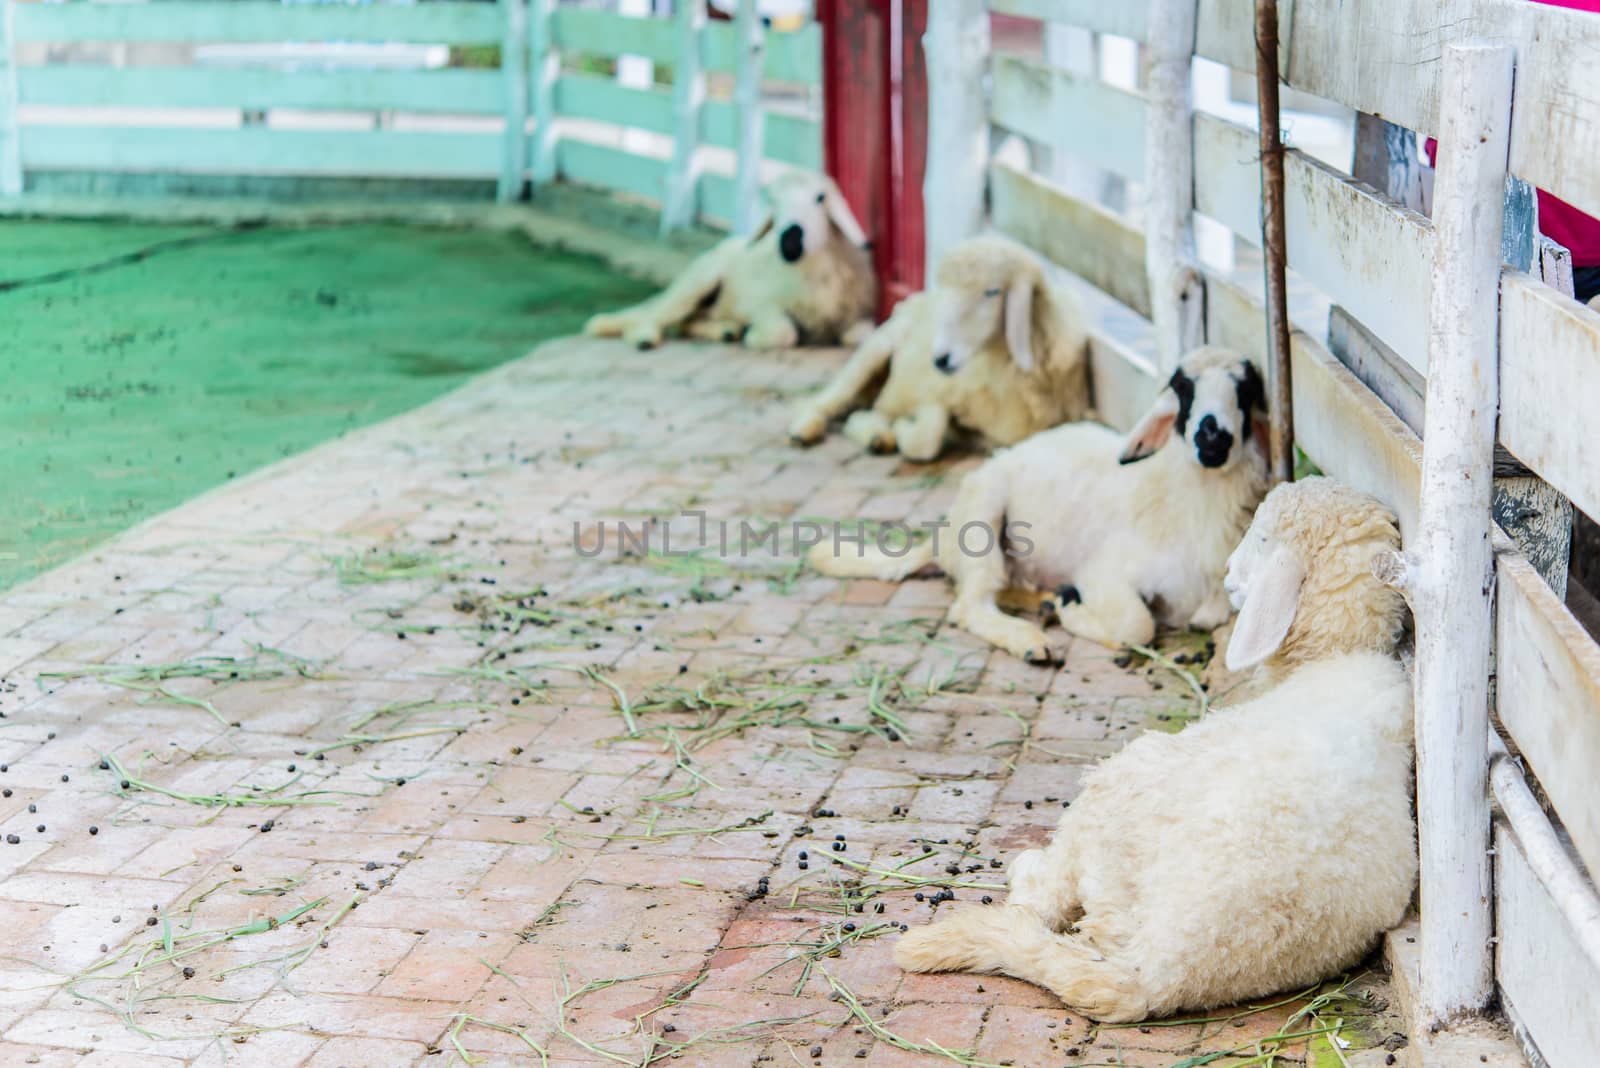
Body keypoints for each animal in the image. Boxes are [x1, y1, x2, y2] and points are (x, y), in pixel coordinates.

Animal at [582, 171, 876, 350]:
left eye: (820, 198)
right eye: (773, 202)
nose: (790, 242)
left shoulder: (860, 315)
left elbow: (860, 336)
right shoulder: (758, 303)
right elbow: (783, 333)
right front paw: (754, 336)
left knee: (686, 324)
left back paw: (726, 331)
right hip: (698, 281)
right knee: (655, 315)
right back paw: (644, 336)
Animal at [784, 235, 1088, 460]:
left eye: (992, 291)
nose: (940, 359)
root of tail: (912, 301)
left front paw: (896, 429)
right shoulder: (939, 393)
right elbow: (927, 437)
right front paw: (906, 428)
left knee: (870, 410)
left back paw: (878, 434)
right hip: (873, 353)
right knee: (826, 401)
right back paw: (806, 429)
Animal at [806, 346, 1267, 658]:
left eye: (1245, 391)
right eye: (1183, 389)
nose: (1213, 439)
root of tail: (944, 539)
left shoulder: (1216, 597)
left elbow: (1204, 617)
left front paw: (1064, 603)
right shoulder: (1105, 574)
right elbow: (1137, 627)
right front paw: (1073, 612)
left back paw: (1043, 600)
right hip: (983, 515)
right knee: (970, 603)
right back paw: (1031, 638)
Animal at [902, 479, 1414, 1023]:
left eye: (1261, 538)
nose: (1227, 574)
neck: (1335, 656)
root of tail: (1155, 970)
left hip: (1117, 793)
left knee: (1047, 893)